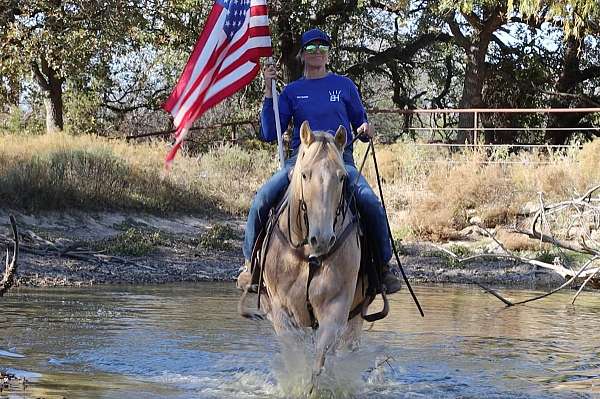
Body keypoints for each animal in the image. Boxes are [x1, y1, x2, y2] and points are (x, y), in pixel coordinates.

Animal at [238, 121, 370, 384]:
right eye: (305, 174)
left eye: (342, 177)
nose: (323, 238)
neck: (308, 255)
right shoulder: (281, 311)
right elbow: (295, 353)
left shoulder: (336, 308)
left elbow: (320, 358)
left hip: (356, 317)